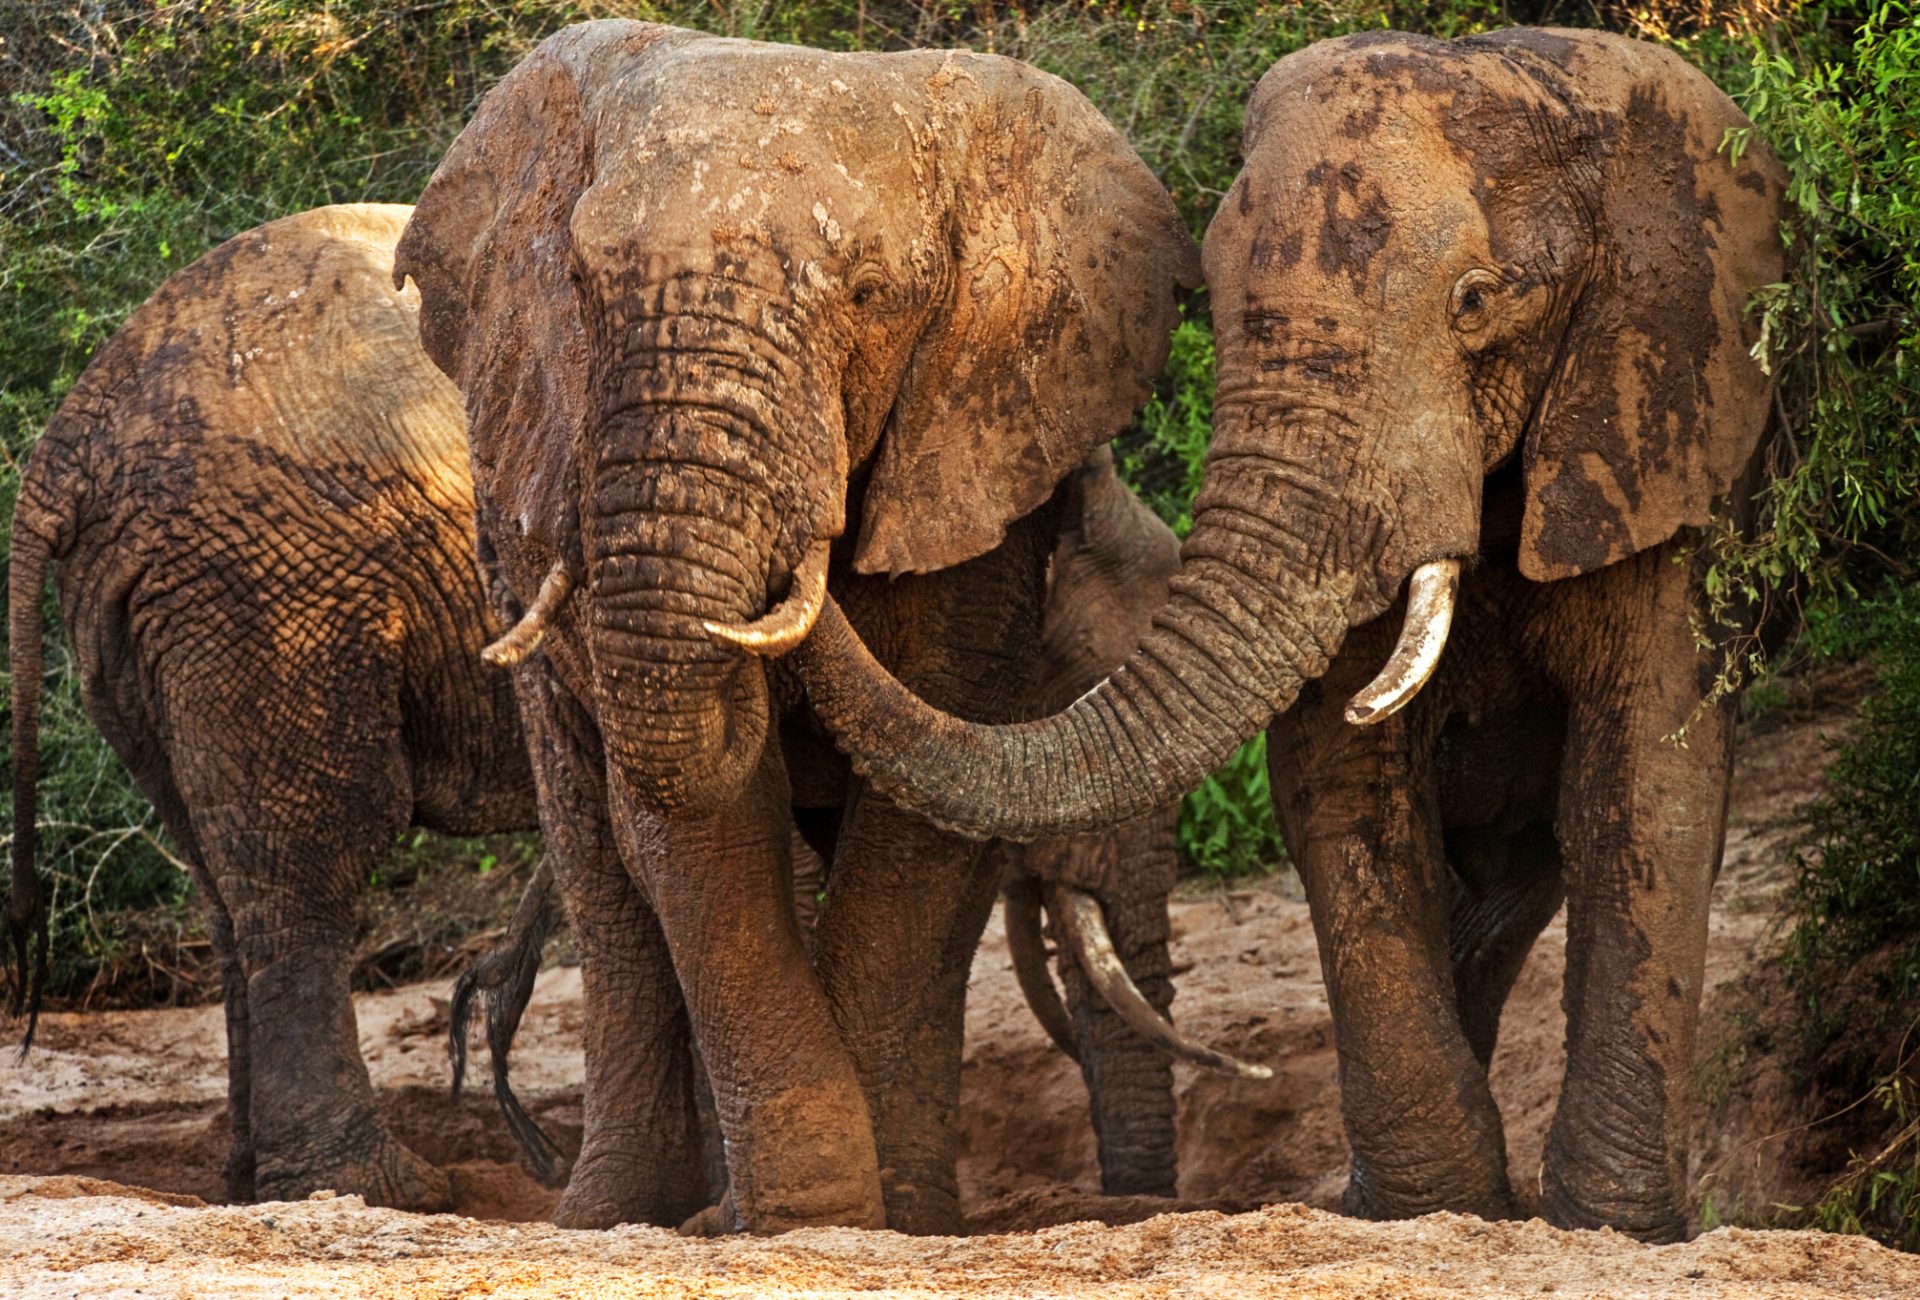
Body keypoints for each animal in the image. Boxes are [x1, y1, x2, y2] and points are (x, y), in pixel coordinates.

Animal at [7, 202, 537, 1205]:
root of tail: (66, 441)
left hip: (132, 620)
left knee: (226, 885)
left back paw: (252, 1181)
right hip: (272, 582)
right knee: (312, 862)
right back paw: (374, 1188)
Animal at [395, 20, 1221, 1228]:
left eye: (873, 294)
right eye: (584, 286)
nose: (801, 540)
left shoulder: (970, 465)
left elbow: (917, 824)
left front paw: (889, 1219)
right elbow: (701, 827)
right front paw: (807, 1212)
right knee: (601, 863)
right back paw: (621, 1213)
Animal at [779, 25, 1781, 1244]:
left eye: (1476, 302)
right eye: (1211, 304)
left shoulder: (1673, 424)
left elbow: (1647, 780)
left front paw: (1610, 1228)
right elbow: (1345, 784)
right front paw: (1430, 1212)